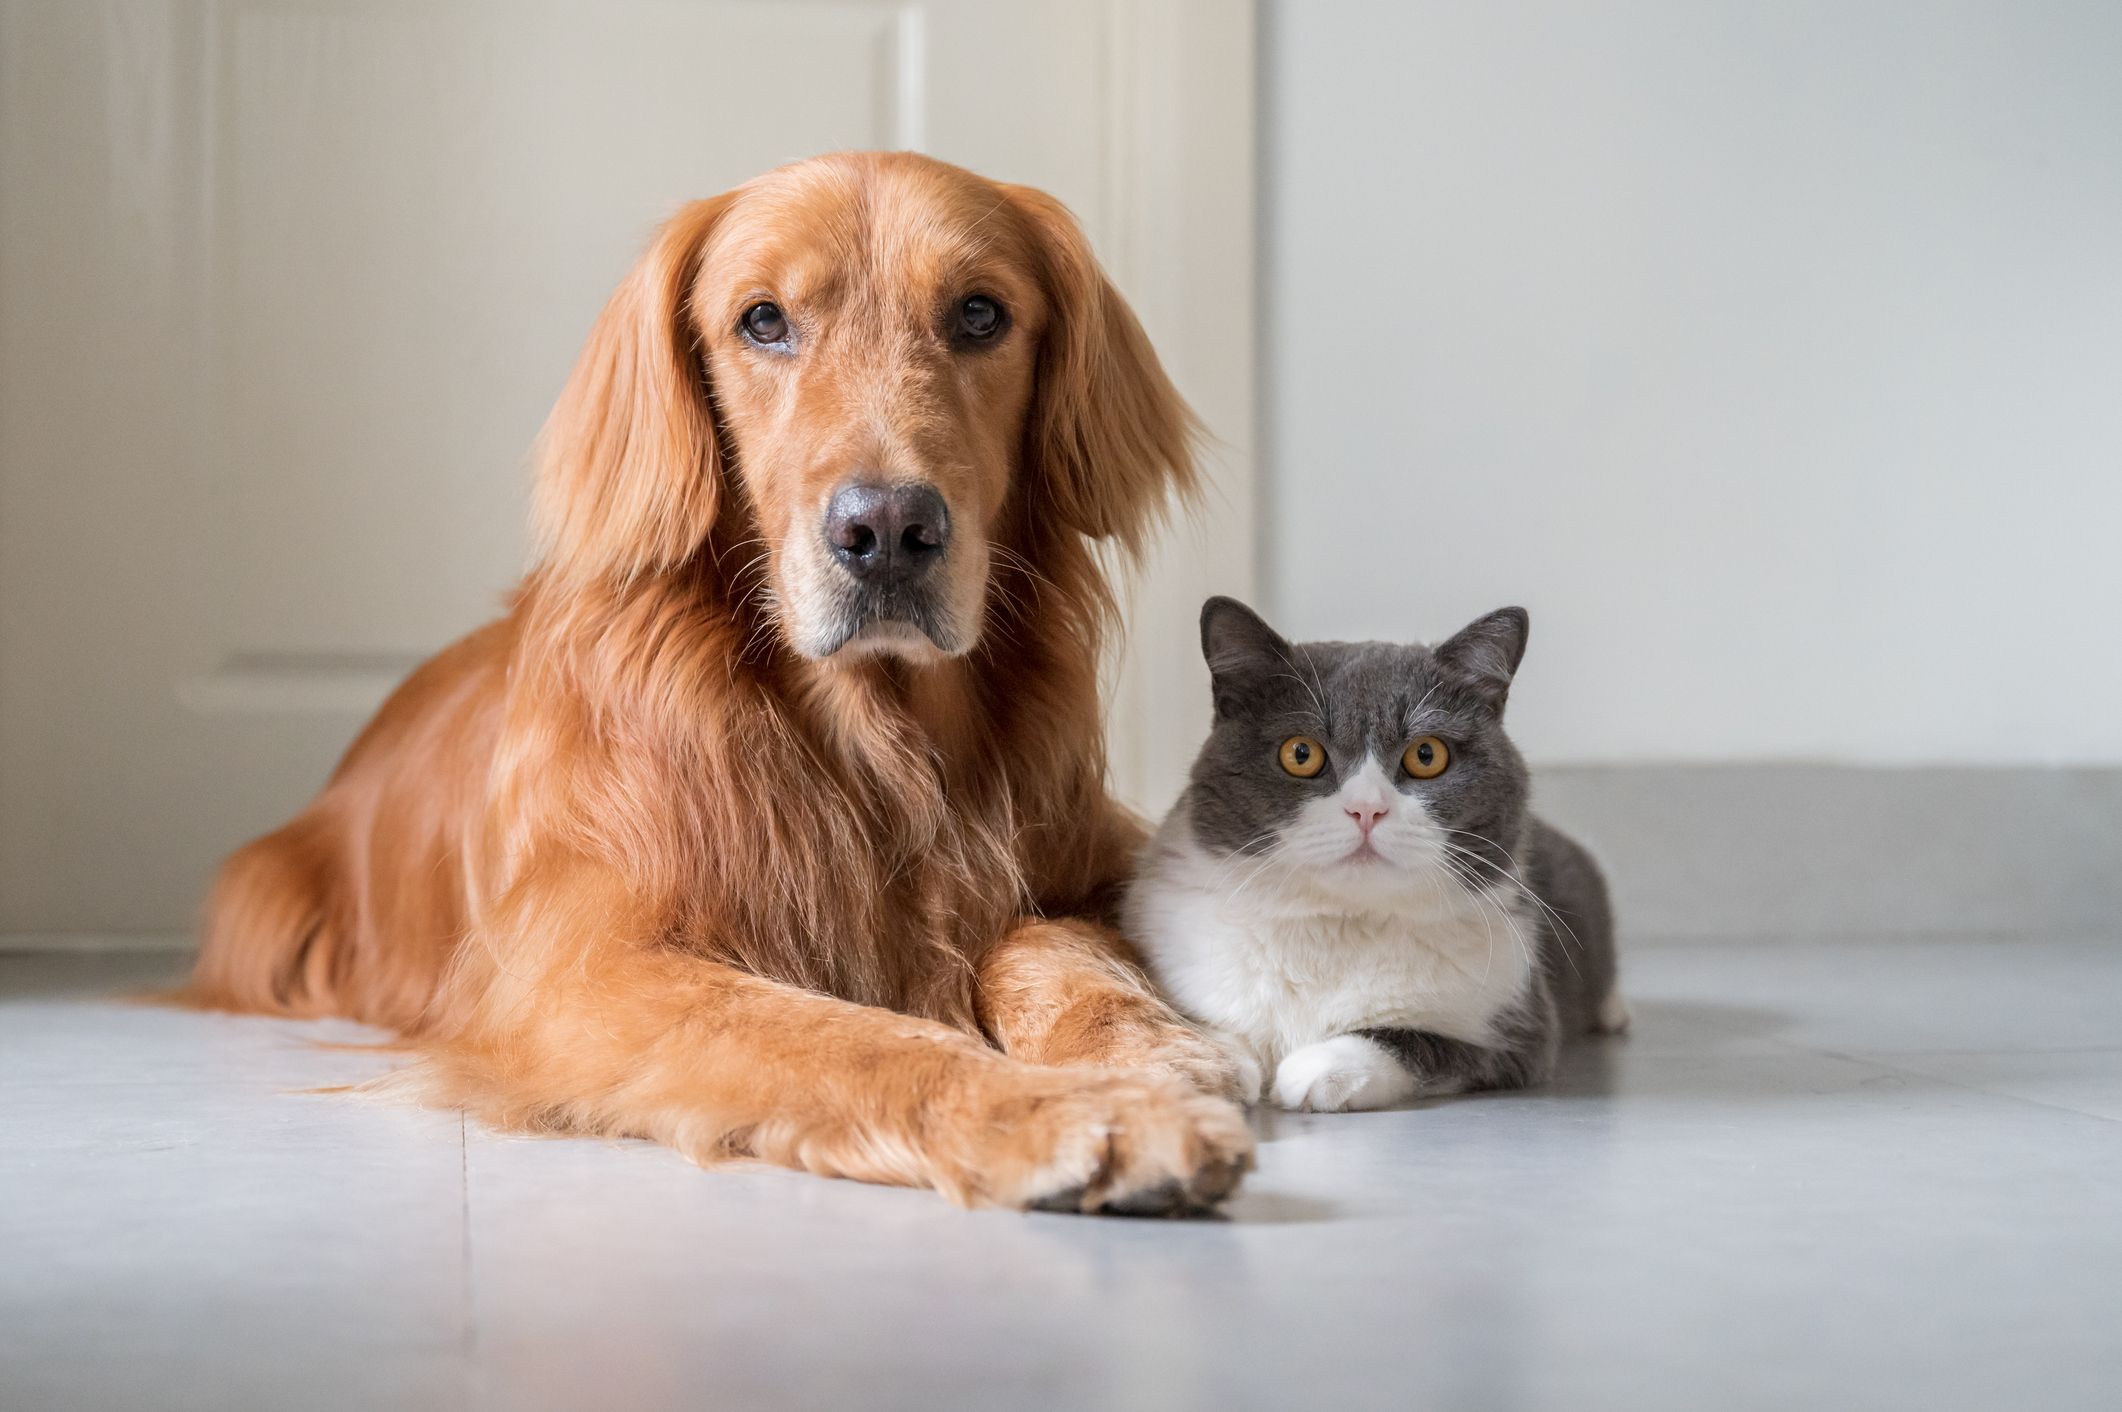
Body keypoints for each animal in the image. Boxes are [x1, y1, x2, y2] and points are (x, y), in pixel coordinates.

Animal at [186, 151, 1256, 1214]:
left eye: (981, 315)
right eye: (763, 320)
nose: (887, 531)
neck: (878, 745)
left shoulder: (1092, 843)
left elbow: (1046, 940)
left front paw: (1142, 1047)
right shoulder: (578, 975)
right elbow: (856, 1040)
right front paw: (1076, 1115)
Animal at [1128, 594, 1621, 1112]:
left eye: (1426, 755)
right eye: (1300, 753)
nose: (1367, 809)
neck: (1340, 922)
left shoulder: (1521, 1028)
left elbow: (1418, 1039)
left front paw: (1318, 1067)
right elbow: (1204, 1026)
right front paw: (1212, 1064)